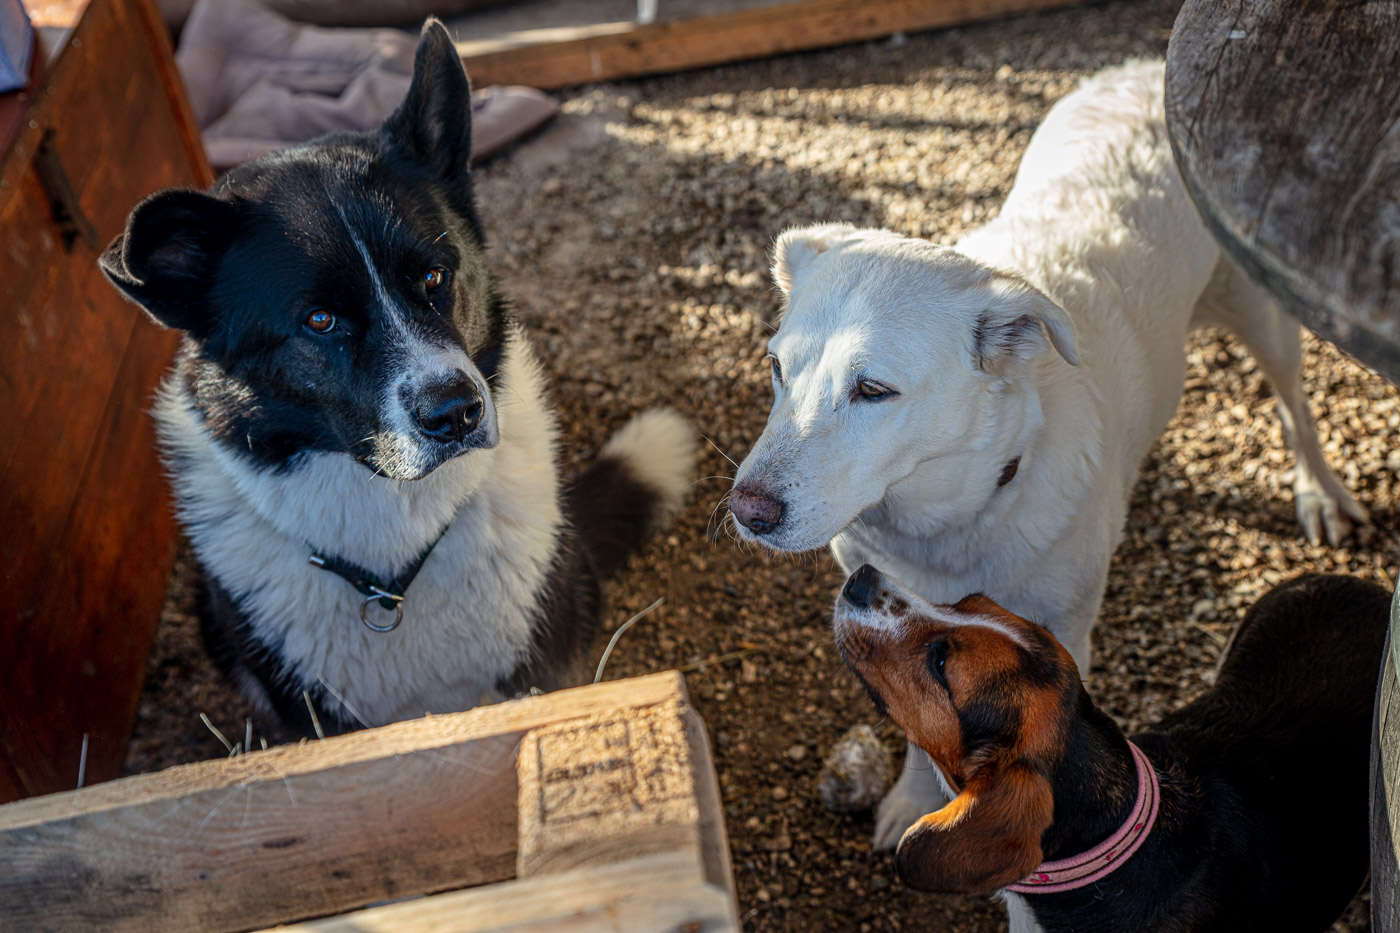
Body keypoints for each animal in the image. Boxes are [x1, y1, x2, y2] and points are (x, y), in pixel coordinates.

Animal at [733, 61, 1366, 851]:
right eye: (776, 369)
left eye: (873, 389)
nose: (746, 510)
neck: (948, 527)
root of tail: (1141, 69)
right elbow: (914, 715)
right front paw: (912, 798)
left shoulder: (1062, 638)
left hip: (1263, 309)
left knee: (1294, 403)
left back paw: (1318, 489)